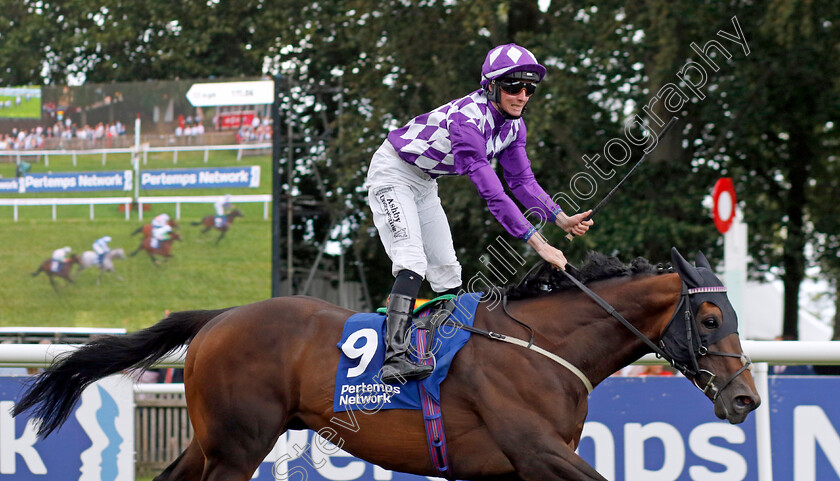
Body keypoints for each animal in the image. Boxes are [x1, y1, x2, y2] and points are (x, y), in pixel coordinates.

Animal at [13, 248, 760, 480]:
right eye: (712, 320)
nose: (747, 399)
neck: (543, 346)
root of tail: (220, 316)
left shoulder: (503, 469)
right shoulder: (537, 450)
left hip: (219, 438)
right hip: (238, 443)